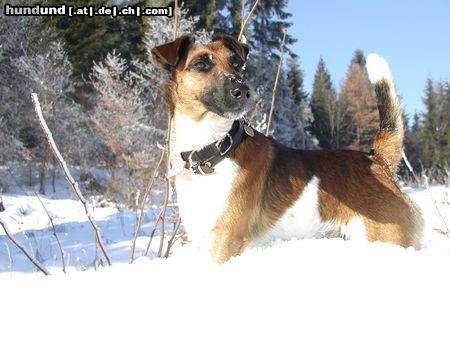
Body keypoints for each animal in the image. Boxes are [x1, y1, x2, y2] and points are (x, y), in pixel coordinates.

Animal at [153, 34, 424, 262]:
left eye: (236, 64)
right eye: (200, 64)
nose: (244, 90)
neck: (216, 150)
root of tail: (378, 161)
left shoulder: (225, 241)